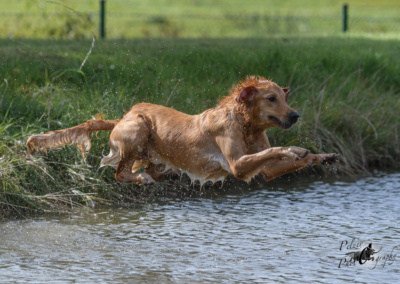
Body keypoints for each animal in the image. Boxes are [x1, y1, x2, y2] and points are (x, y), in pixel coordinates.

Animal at [25, 76, 338, 186]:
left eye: (284, 97)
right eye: (271, 98)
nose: (295, 115)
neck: (245, 124)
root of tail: (122, 117)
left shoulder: (266, 168)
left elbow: (275, 159)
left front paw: (321, 156)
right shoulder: (237, 166)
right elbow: (277, 150)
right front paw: (296, 149)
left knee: (146, 169)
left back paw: (165, 174)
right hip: (139, 128)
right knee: (121, 173)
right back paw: (143, 179)